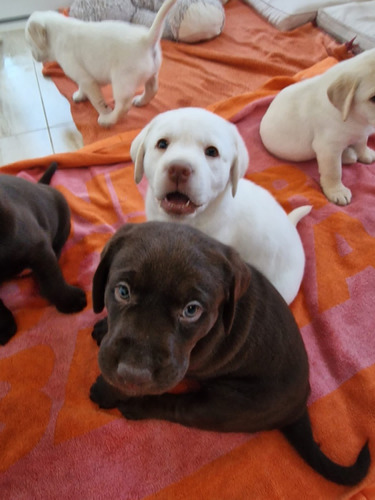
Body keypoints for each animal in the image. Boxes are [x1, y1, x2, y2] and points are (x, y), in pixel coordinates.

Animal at [0, 163, 86, 344]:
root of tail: (40, 185)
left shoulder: (38, 249)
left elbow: (54, 281)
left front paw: (69, 300)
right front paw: (3, 326)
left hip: (63, 217)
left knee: (57, 247)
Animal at [25, 0, 177, 127]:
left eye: (29, 43)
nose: (33, 57)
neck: (57, 33)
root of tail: (146, 39)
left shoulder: (86, 79)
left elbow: (97, 101)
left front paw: (104, 111)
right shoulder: (84, 77)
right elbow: (82, 87)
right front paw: (80, 95)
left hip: (122, 82)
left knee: (123, 106)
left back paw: (108, 119)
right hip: (152, 73)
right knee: (152, 89)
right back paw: (140, 101)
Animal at [90, 222, 370, 484]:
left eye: (191, 310)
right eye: (122, 291)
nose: (133, 373)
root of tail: (300, 407)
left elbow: (122, 385)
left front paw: (105, 391)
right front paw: (104, 327)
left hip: (227, 405)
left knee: (178, 408)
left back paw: (137, 407)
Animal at [260, 48, 375, 205]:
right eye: (374, 98)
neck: (356, 117)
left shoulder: (362, 132)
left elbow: (362, 142)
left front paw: (365, 153)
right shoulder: (328, 147)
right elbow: (334, 171)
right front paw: (336, 191)